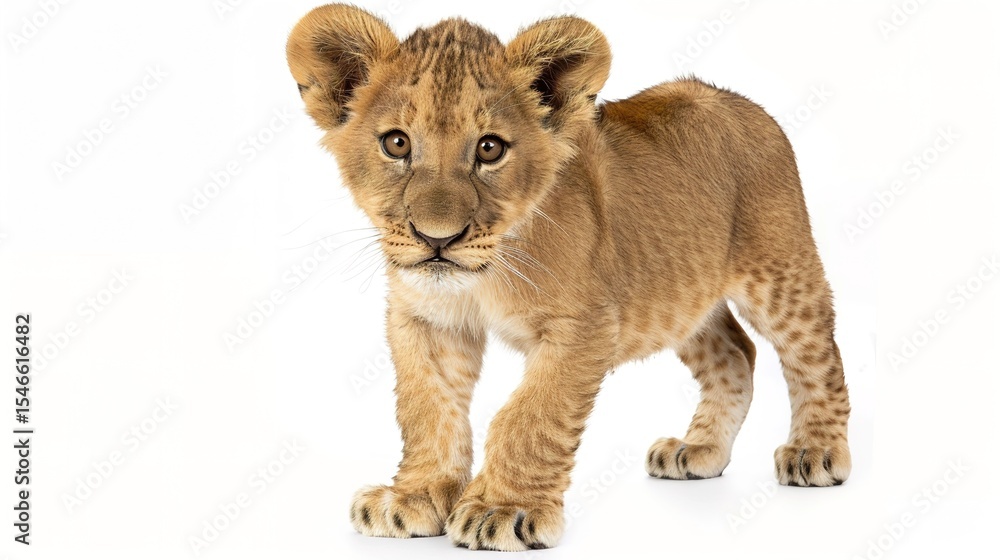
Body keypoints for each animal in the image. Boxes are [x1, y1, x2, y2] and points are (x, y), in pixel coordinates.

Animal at [287, 4, 851, 551]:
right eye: (397, 144)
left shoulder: (584, 326)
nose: (437, 238)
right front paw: (415, 498)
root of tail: (737, 99)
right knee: (735, 352)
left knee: (815, 354)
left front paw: (503, 510)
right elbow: (428, 407)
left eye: (489, 149)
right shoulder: (426, 319)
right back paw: (699, 449)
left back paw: (816, 452)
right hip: (680, 297)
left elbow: (531, 415)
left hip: (780, 272)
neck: (488, 273)